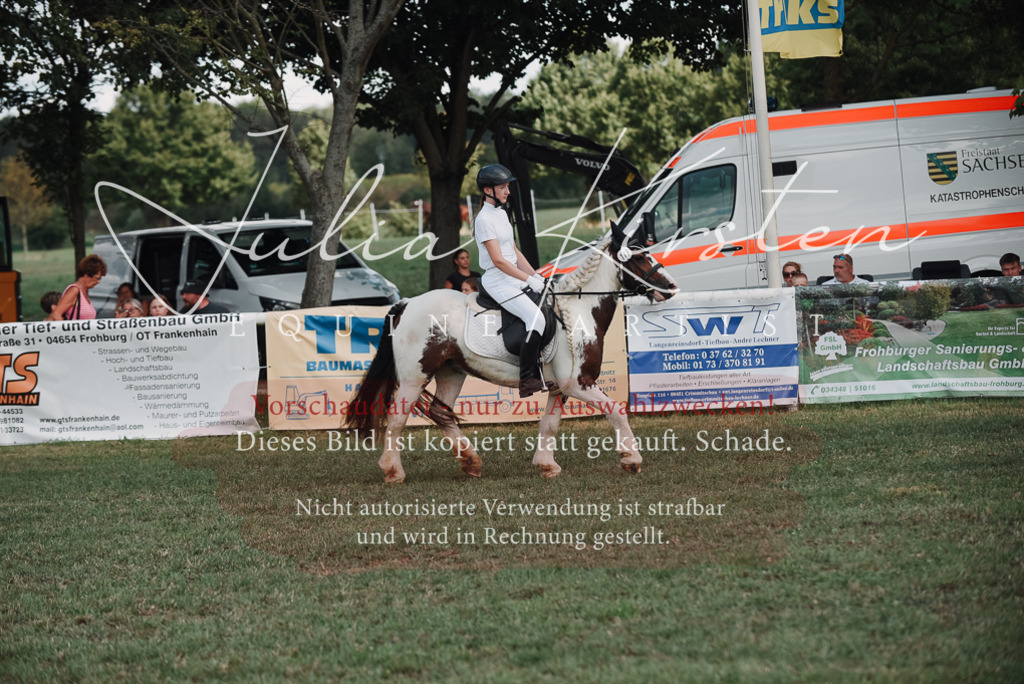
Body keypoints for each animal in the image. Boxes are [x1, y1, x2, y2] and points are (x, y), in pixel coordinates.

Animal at [343, 223, 677, 482]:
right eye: (639, 257)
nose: (671, 287)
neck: (580, 311)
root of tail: (407, 304)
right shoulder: (579, 384)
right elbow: (616, 411)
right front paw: (631, 459)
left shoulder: (561, 388)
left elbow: (549, 424)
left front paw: (547, 466)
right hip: (415, 377)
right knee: (397, 419)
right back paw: (393, 471)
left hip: (452, 371)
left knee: (441, 412)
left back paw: (471, 462)